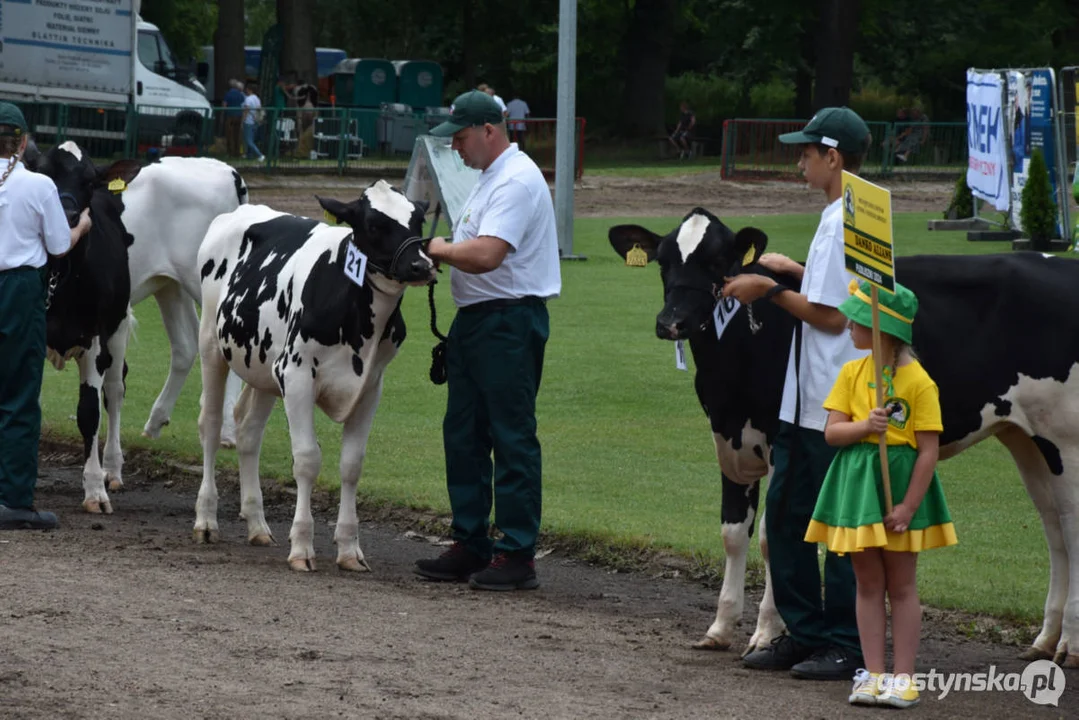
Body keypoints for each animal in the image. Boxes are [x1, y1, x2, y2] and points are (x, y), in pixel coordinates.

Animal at [30, 140, 140, 515]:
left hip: (118, 327)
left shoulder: (94, 339)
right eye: (42, 173)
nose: (66, 216)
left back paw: (113, 470)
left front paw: (94, 491)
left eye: (90, 181)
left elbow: (89, 412)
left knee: (116, 390)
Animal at [194, 181, 433, 574]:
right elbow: (306, 460)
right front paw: (302, 546)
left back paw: (257, 525)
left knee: (248, 433)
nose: (421, 265)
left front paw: (349, 549)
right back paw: (206, 520)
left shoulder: (371, 386)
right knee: (211, 426)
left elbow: (352, 465)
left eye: (418, 220)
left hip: (263, 366)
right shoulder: (296, 375)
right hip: (212, 346)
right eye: (373, 223)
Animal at [612, 209, 1079, 669]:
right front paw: (720, 628)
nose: (671, 322)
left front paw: (767, 633)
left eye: (715, 262)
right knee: (1054, 530)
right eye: (663, 262)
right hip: (1026, 440)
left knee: (1070, 526)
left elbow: (772, 535)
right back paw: (1043, 641)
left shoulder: (783, 443)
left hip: (1065, 439)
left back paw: (1068, 645)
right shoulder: (728, 441)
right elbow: (733, 533)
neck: (732, 370)